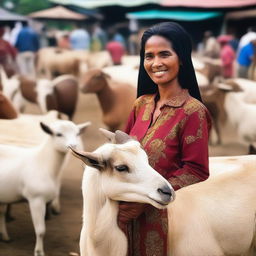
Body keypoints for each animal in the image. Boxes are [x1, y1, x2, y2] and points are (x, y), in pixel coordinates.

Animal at [0, 119, 91, 255]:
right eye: (58, 134)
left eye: (77, 133)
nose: (73, 145)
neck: (43, 163)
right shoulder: (36, 200)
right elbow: (40, 231)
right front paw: (39, 252)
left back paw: (5, 237)